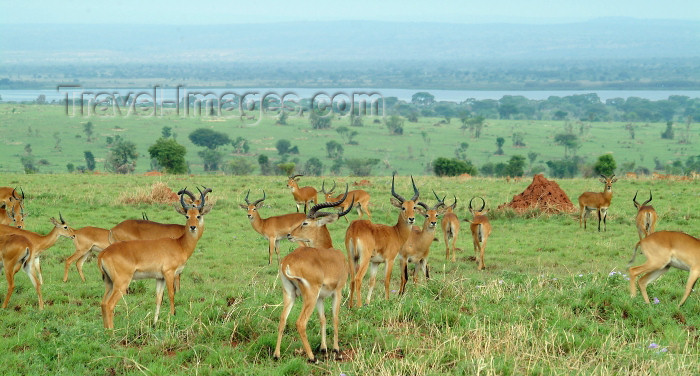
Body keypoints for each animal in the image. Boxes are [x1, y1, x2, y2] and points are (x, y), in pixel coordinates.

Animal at [97, 188, 211, 328]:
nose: (193, 227)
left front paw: (155, 323)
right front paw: (172, 317)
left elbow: (158, 298)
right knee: (109, 305)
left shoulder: (159, 278)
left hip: (109, 283)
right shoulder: (169, 273)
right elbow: (171, 294)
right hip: (121, 284)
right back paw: (112, 331)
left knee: (103, 303)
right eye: (187, 216)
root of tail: (104, 253)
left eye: (198, 215)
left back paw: (106, 329)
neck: (179, 244)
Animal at [344, 173, 418, 308]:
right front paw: (387, 300)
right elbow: (386, 280)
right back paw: (359, 306)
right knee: (358, 278)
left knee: (352, 278)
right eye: (403, 207)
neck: (396, 232)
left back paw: (351, 305)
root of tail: (355, 228)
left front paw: (368, 302)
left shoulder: (375, 262)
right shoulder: (390, 260)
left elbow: (372, 281)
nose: (411, 219)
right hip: (364, 258)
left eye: (414, 207)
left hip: (352, 256)